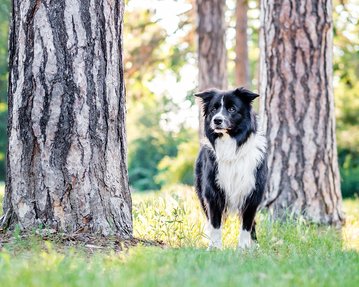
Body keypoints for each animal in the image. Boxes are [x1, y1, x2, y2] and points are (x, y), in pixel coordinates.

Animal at [194, 88, 268, 250]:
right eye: (214, 109)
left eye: (232, 109)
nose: (217, 120)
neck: (231, 146)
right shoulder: (213, 193)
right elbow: (216, 224)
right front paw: (215, 248)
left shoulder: (252, 193)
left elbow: (246, 225)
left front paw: (244, 248)